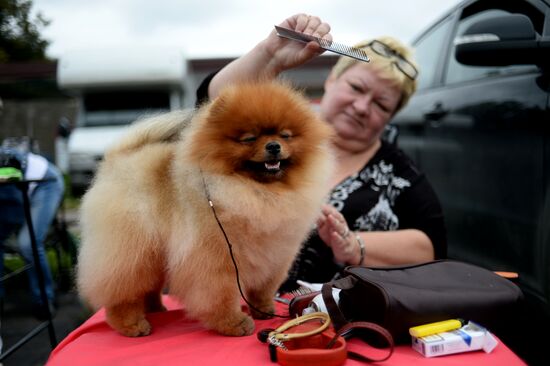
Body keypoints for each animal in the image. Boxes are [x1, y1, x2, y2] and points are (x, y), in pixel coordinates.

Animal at [77, 80, 336, 338]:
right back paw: (132, 324)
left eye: (285, 135)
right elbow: (222, 294)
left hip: (154, 252)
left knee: (149, 284)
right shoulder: (217, 259)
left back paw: (156, 308)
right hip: (133, 248)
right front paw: (234, 323)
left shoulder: (275, 255)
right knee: (123, 289)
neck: (259, 192)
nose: (273, 146)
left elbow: (263, 287)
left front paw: (264, 310)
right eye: (249, 138)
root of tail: (115, 160)